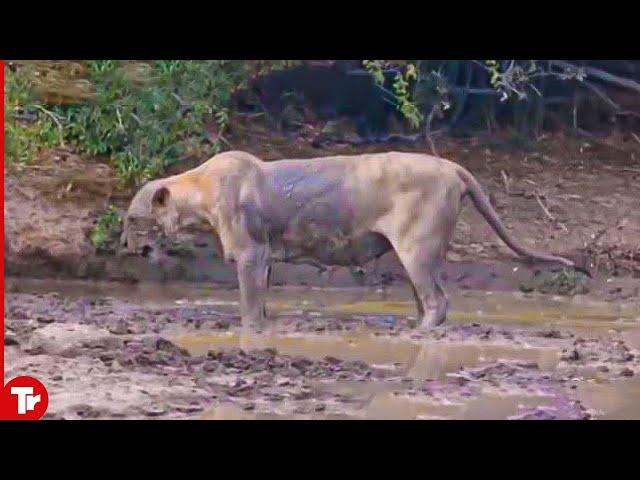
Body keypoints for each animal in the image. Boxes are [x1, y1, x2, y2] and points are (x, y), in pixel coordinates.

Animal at [122, 150, 572, 330]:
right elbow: (261, 300)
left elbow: (249, 306)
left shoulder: (250, 253)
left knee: (438, 302)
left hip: (417, 248)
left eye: (131, 220)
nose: (123, 247)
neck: (198, 192)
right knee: (428, 300)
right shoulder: (264, 257)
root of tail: (452, 167)